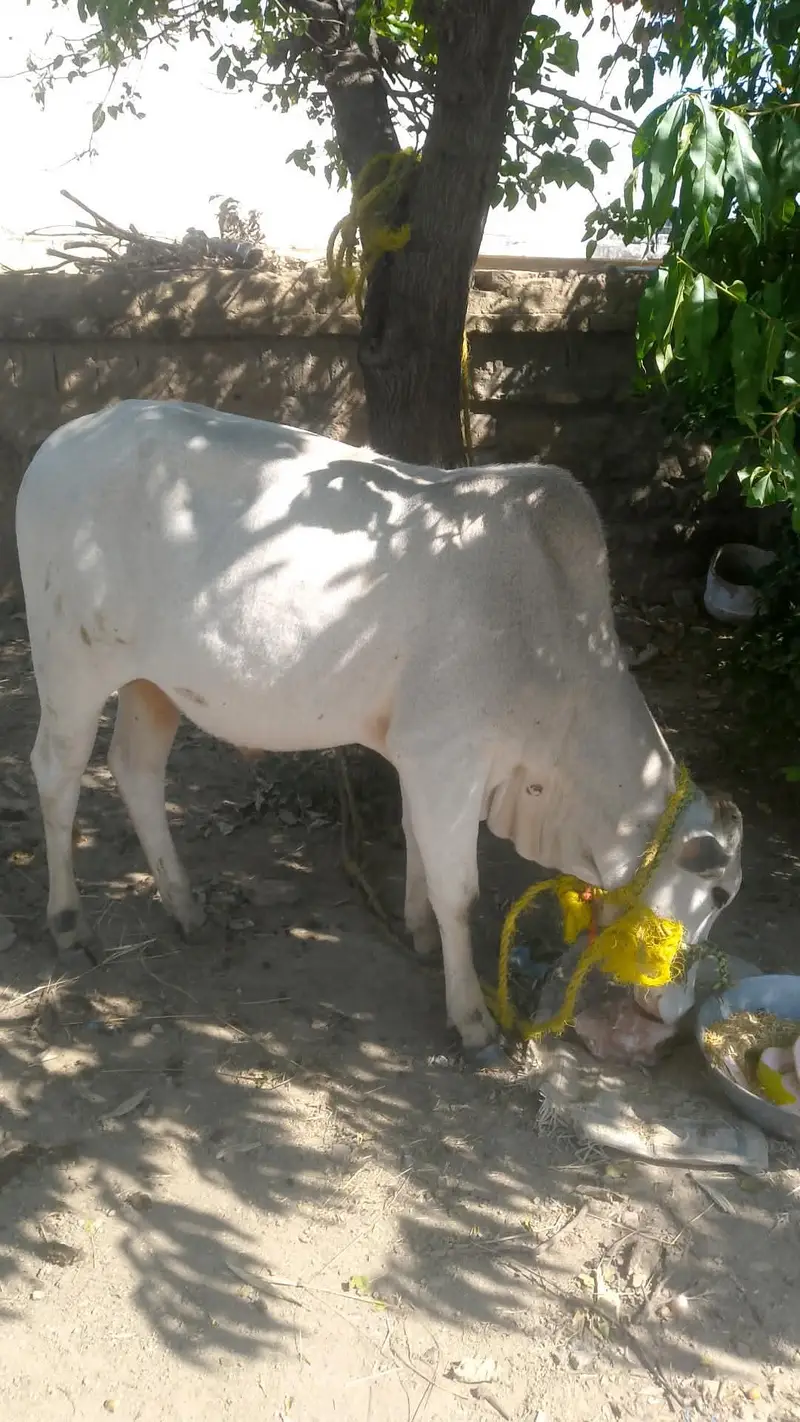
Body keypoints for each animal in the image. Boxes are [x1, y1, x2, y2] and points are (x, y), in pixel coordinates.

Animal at [16, 399, 743, 1057]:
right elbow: (460, 892)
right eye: (718, 893)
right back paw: (69, 921)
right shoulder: (449, 757)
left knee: (136, 768)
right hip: (70, 664)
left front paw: (418, 932)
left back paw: (186, 906)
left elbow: (417, 843)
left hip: (152, 683)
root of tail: (61, 440)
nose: (678, 1009)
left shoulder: (422, 760)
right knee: (56, 773)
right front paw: (473, 1021)